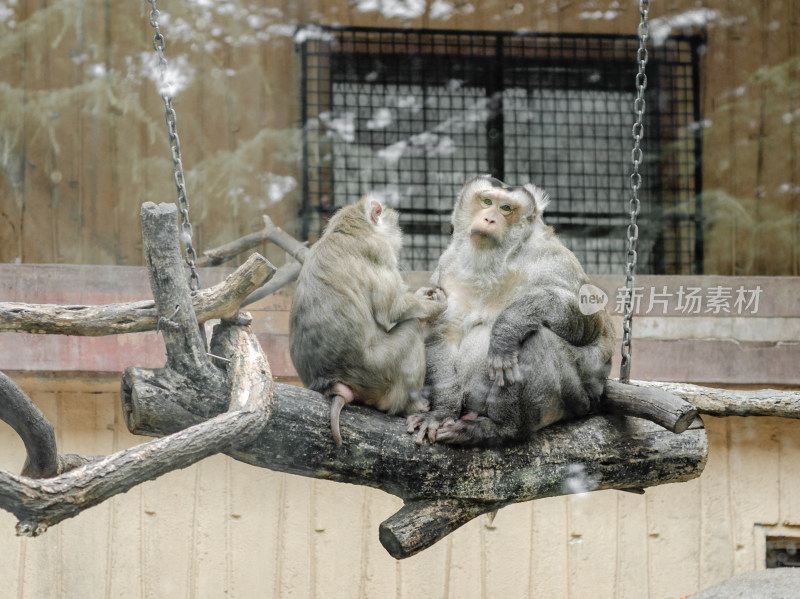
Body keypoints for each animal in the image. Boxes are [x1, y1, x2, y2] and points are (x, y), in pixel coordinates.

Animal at [290, 196, 446, 446]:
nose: (399, 235)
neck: (349, 231)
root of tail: (329, 383)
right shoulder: (378, 250)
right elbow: (392, 309)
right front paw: (439, 305)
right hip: (379, 370)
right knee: (411, 328)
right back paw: (413, 406)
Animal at [410, 173, 616, 446]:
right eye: (487, 201)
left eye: (505, 208)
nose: (489, 218)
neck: (496, 262)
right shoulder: (448, 268)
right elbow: (442, 336)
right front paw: (440, 413)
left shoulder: (550, 256)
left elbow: (589, 323)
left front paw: (508, 328)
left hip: (577, 398)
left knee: (536, 339)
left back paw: (500, 428)